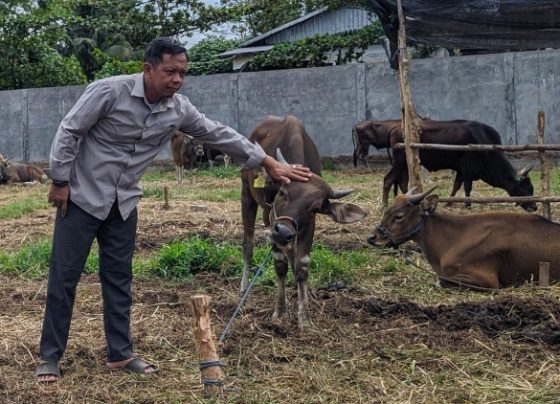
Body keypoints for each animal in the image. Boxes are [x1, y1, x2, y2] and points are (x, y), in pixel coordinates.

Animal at [242, 115, 368, 330]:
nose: (283, 232)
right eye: (282, 192)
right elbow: (280, 265)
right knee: (248, 245)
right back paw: (243, 289)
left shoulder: (307, 226)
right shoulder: (272, 219)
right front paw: (279, 312)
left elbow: (301, 266)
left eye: (314, 207)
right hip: (247, 196)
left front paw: (305, 316)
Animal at [368, 188, 560, 288]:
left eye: (399, 216)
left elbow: (441, 280)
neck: (453, 238)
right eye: (386, 211)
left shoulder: (488, 280)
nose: (371, 237)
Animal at [382, 118, 536, 211]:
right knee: (388, 179)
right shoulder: (468, 169)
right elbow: (467, 188)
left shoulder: (461, 170)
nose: (534, 207)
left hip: (404, 165)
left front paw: (449, 202)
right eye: (526, 188)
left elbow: (456, 186)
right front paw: (467, 205)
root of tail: (395, 128)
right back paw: (384, 205)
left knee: (402, 181)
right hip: (399, 162)